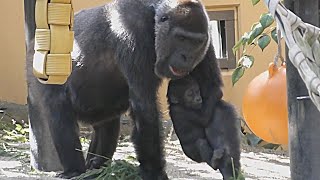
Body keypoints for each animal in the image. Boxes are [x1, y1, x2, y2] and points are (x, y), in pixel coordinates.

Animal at [25, 0, 222, 179]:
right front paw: (155, 172)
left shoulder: (206, 34)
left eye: (196, 42)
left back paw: (96, 166)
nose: (186, 56)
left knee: (107, 124)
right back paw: (75, 170)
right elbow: (145, 109)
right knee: (59, 109)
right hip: (39, 67)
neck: (155, 16)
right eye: (181, 38)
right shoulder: (134, 31)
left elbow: (211, 91)